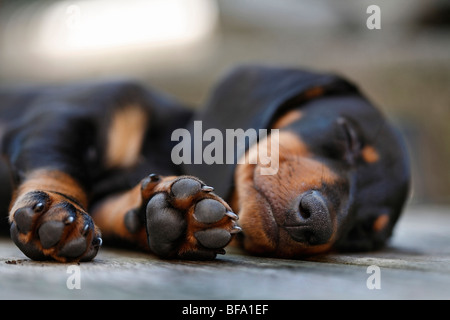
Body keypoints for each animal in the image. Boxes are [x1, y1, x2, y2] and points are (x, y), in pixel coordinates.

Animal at [0, 65, 410, 262]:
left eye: (362, 232)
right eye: (348, 135)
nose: (319, 224)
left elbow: (115, 208)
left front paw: (175, 219)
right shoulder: (61, 118)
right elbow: (58, 167)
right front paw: (58, 210)